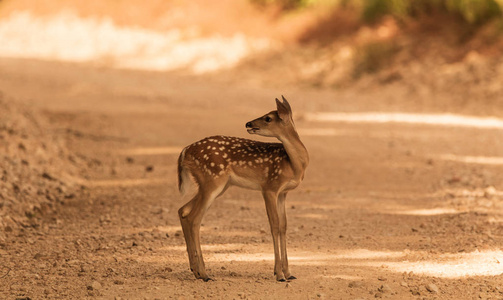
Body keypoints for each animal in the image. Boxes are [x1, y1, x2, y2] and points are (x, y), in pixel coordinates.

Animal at [179, 96, 310, 282]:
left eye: (268, 118)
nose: (248, 123)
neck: (294, 164)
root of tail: (184, 151)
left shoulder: (283, 193)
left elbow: (283, 226)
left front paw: (288, 273)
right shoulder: (269, 187)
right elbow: (274, 225)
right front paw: (278, 274)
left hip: (215, 185)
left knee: (183, 210)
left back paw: (195, 271)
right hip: (212, 180)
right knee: (194, 219)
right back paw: (204, 274)